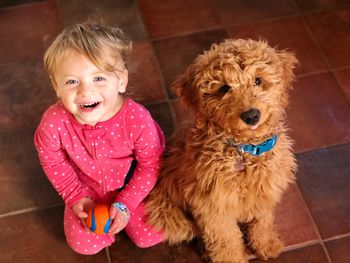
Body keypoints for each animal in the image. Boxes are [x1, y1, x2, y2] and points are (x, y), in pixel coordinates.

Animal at [145, 39, 298, 263]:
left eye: (258, 80)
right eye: (225, 88)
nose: (251, 115)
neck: (244, 151)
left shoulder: (264, 192)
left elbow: (262, 222)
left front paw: (267, 244)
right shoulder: (214, 207)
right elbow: (226, 241)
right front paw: (233, 258)